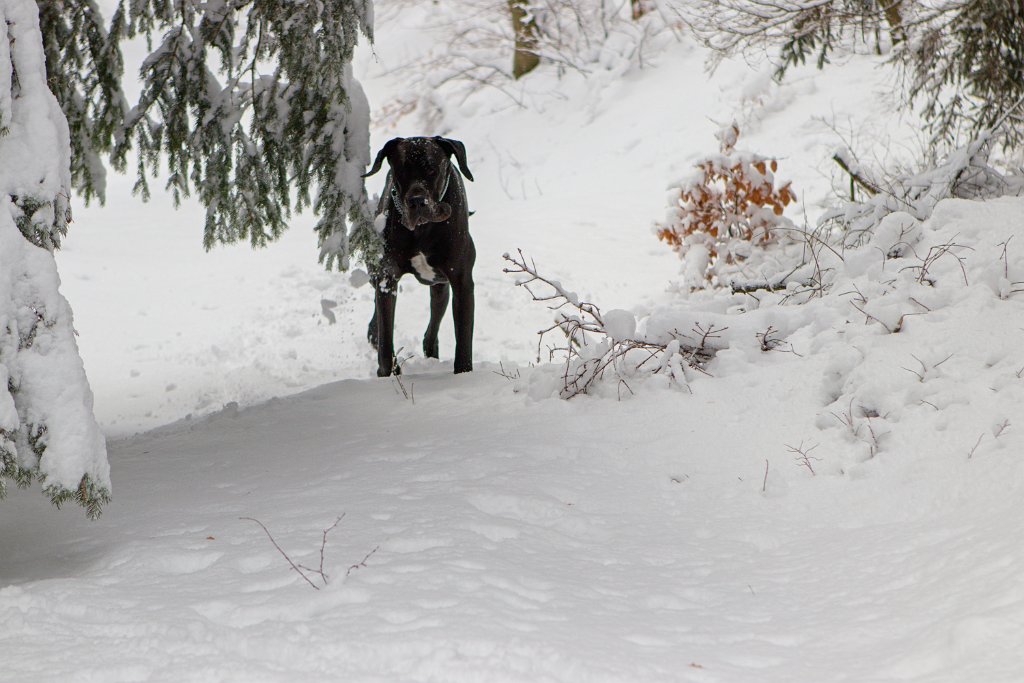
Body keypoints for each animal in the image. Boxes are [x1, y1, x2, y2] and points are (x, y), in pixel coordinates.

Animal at [364, 135, 475, 376]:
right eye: (401, 170)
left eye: (433, 169)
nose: (417, 200)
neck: (423, 230)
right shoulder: (387, 278)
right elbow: (386, 336)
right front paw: (388, 374)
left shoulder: (461, 281)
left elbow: (463, 336)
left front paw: (463, 374)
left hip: (440, 286)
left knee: (433, 325)